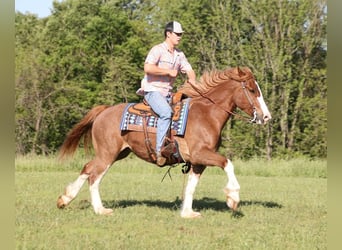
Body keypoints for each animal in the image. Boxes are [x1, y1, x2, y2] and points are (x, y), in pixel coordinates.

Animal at [56, 66, 272, 219]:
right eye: (252, 90)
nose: (266, 116)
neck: (207, 114)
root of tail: (104, 111)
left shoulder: (198, 162)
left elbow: (191, 186)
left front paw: (187, 213)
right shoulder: (201, 154)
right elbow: (228, 163)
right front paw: (233, 198)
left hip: (116, 153)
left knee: (87, 168)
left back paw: (65, 199)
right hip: (107, 154)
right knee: (94, 176)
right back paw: (100, 209)